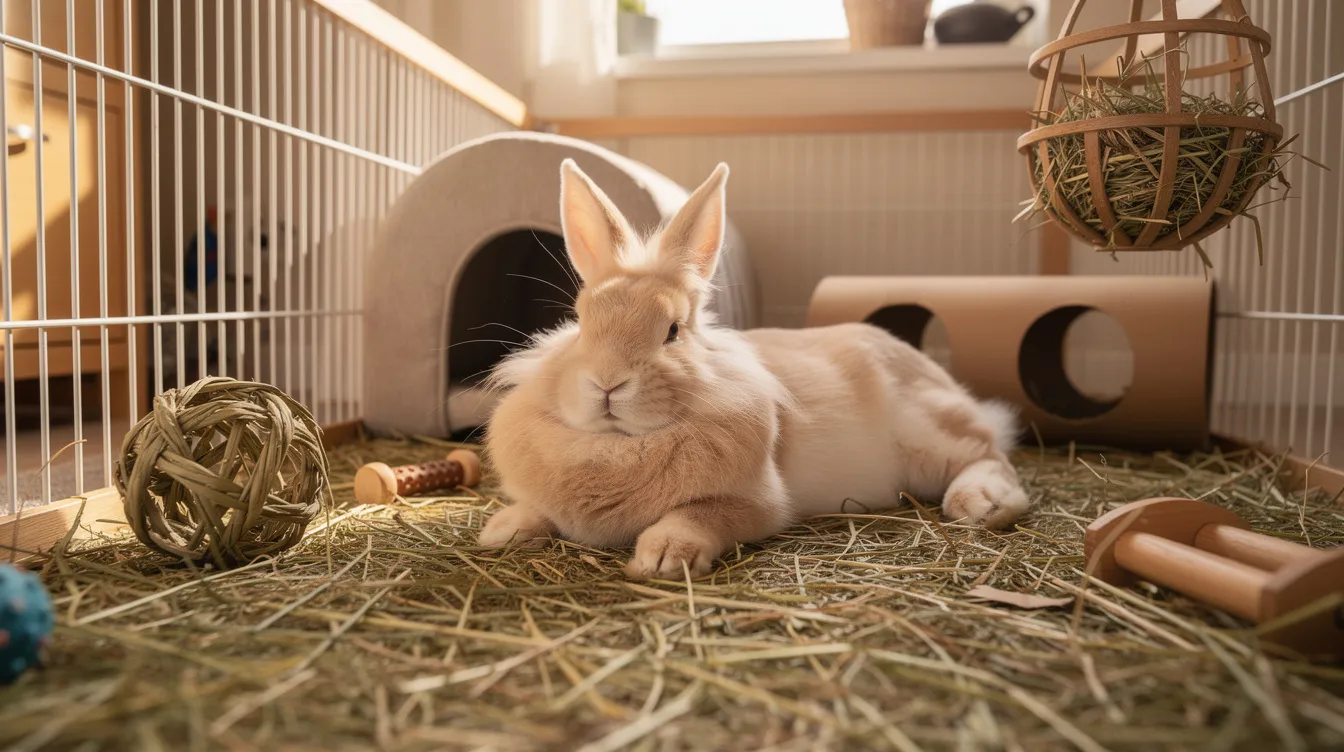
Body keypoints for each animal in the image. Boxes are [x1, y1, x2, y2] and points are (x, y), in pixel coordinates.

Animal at [478, 159, 1030, 579]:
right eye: (581, 322)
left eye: (673, 330)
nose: (607, 384)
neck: (617, 446)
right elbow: (537, 511)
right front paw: (500, 531)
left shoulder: (754, 505)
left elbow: (698, 514)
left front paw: (662, 557)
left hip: (929, 436)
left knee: (992, 457)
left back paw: (980, 504)